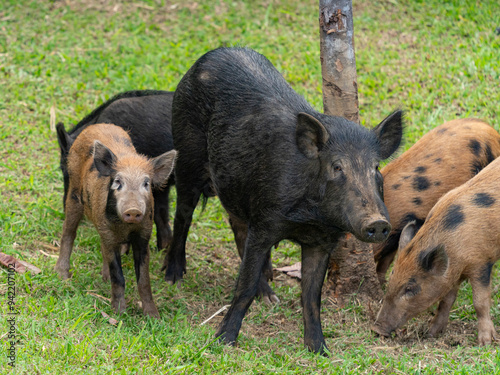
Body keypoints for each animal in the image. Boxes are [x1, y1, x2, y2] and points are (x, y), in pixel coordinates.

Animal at [164, 47, 402, 356]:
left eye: (375, 168)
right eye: (337, 167)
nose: (378, 222)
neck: (310, 218)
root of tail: (205, 59)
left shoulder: (321, 241)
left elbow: (312, 297)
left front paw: (320, 350)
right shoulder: (266, 222)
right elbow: (244, 286)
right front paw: (223, 341)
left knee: (236, 225)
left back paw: (269, 296)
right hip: (187, 157)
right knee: (184, 215)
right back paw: (173, 277)